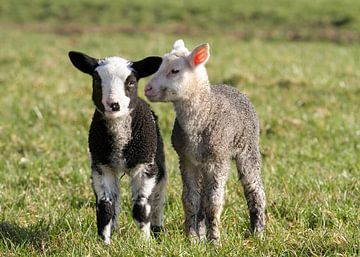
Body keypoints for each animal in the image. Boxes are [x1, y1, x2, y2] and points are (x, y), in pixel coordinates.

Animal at [68, 50, 166, 244]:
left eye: (131, 82)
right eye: (97, 81)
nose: (113, 105)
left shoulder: (145, 166)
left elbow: (141, 208)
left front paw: (144, 243)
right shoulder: (101, 167)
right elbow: (106, 207)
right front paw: (104, 243)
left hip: (158, 160)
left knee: (158, 198)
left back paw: (157, 230)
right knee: (116, 201)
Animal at [145, 39, 266, 243]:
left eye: (175, 71)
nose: (147, 89)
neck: (205, 113)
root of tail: (232, 87)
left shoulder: (218, 159)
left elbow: (213, 203)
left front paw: (214, 241)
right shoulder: (186, 159)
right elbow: (190, 200)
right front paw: (192, 239)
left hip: (248, 147)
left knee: (254, 189)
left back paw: (258, 232)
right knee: (201, 197)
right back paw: (201, 233)